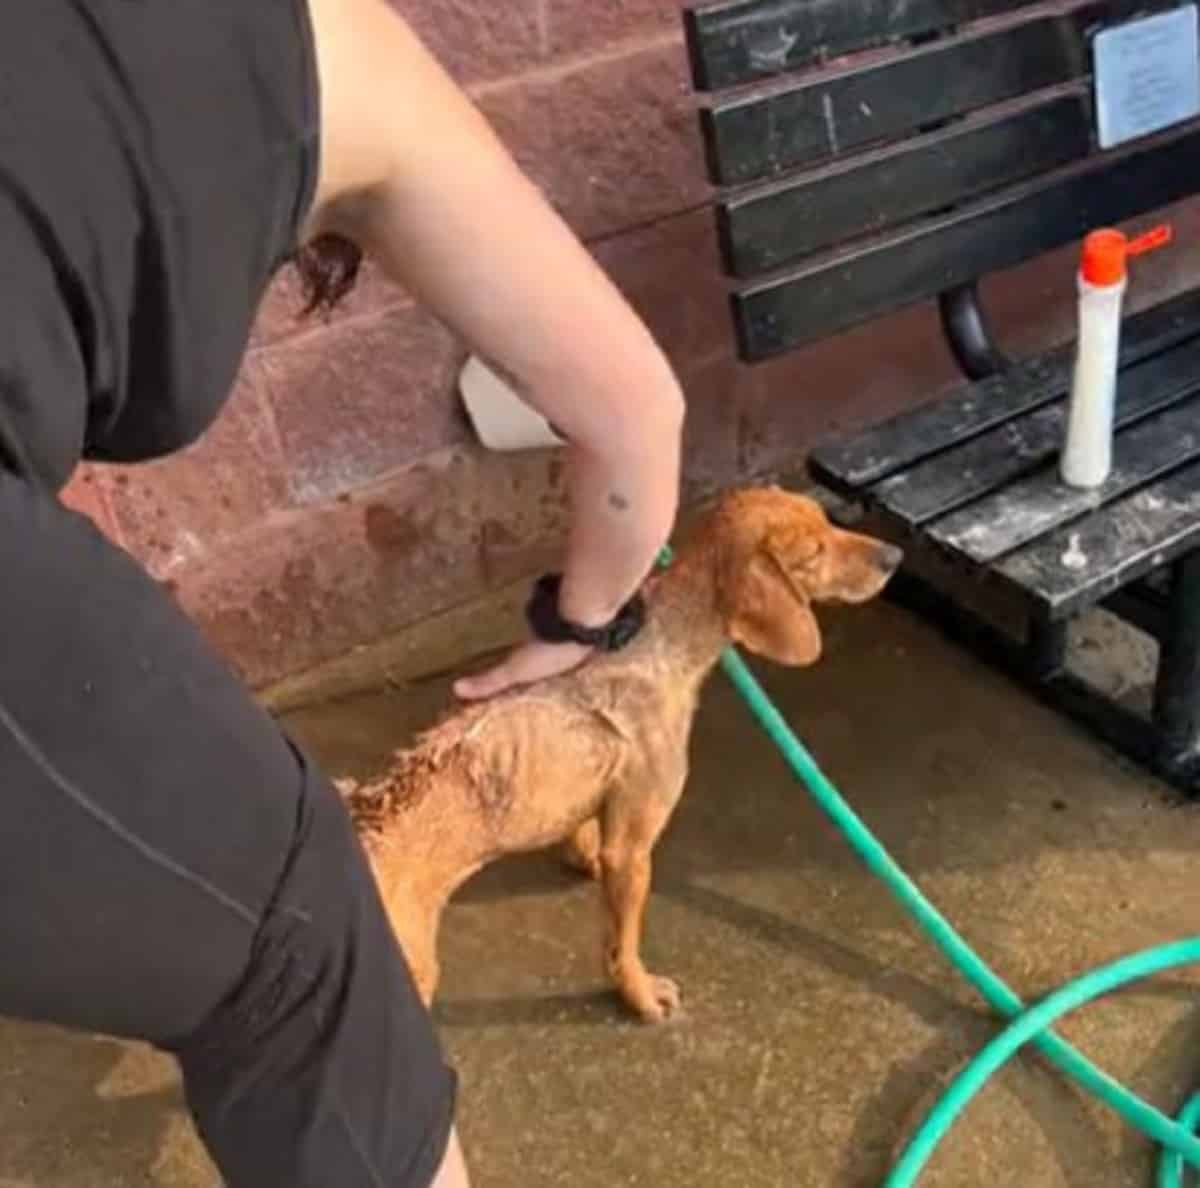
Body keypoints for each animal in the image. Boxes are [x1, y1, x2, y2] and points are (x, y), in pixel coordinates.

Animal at [338, 484, 902, 1022]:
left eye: (825, 518)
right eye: (814, 552)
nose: (893, 556)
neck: (665, 639)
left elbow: (581, 831)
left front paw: (581, 856)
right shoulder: (632, 848)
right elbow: (622, 943)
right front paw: (639, 995)